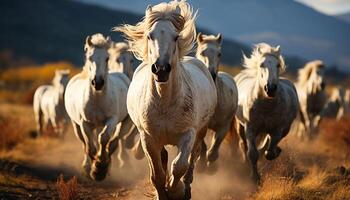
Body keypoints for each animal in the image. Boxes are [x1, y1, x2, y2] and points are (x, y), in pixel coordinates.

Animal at [64, 33, 133, 181]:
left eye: (107, 58)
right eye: (90, 57)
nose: (98, 83)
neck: (97, 98)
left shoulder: (111, 120)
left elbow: (104, 138)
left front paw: (100, 167)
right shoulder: (84, 123)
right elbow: (90, 146)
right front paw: (93, 169)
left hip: (124, 123)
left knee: (114, 141)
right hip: (77, 126)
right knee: (85, 143)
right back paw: (87, 166)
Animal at [116, 0, 217, 199]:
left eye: (176, 37)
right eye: (149, 36)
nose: (161, 69)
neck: (165, 103)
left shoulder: (188, 134)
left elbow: (179, 166)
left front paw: (175, 190)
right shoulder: (148, 138)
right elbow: (157, 175)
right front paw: (163, 193)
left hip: (200, 132)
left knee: (193, 159)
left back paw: (186, 188)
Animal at [197, 33, 238, 172]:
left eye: (219, 54)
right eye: (202, 52)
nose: (211, 73)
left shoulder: (223, 128)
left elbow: (213, 150)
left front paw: (211, 167)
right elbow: (203, 146)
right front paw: (201, 165)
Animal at [234, 43, 300, 184]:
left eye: (278, 65)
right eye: (261, 65)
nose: (270, 88)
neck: (266, 106)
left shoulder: (277, 130)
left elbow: (268, 152)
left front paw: (275, 152)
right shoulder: (250, 128)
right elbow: (252, 153)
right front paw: (254, 178)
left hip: (283, 129)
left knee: (267, 146)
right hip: (240, 126)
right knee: (243, 145)